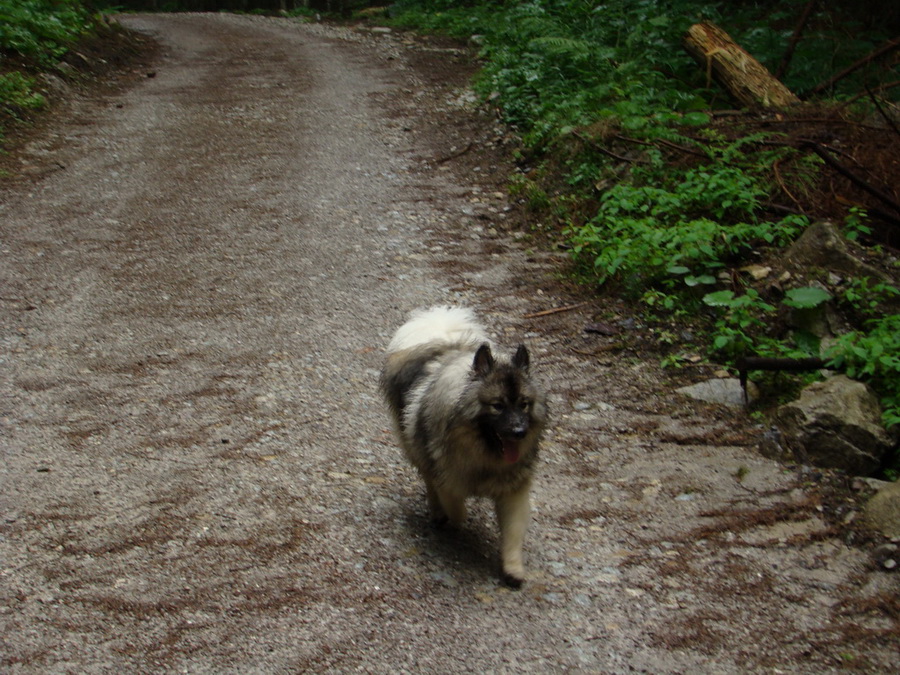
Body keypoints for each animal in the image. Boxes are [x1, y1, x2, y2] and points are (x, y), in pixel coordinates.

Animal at [380, 306, 548, 588]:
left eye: (524, 404)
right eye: (498, 405)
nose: (519, 432)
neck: (486, 457)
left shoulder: (513, 491)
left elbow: (513, 531)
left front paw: (513, 568)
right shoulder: (448, 477)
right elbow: (456, 507)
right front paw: (454, 518)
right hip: (416, 447)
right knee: (429, 481)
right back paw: (438, 514)